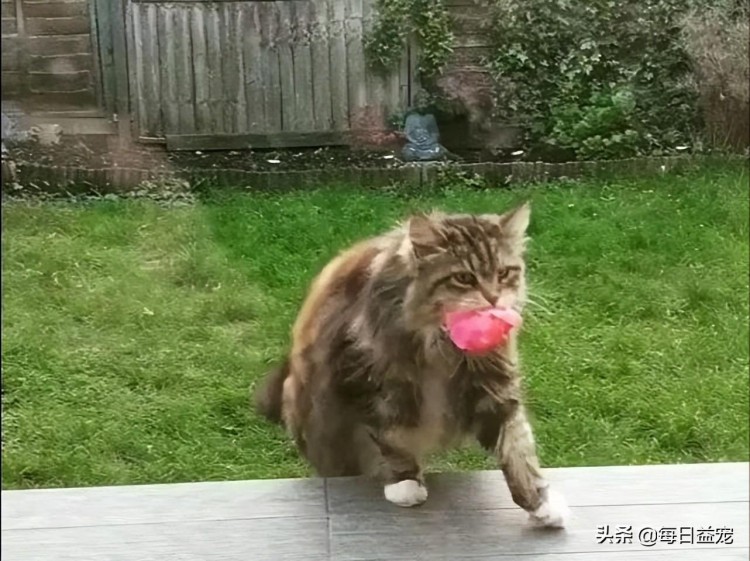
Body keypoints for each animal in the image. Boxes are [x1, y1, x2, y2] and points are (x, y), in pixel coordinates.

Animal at [256, 203, 572, 528]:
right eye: (464, 278)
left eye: (504, 273)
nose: (493, 298)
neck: (441, 344)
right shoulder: (367, 383)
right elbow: (390, 439)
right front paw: (405, 484)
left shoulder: (494, 387)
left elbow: (517, 449)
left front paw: (541, 503)